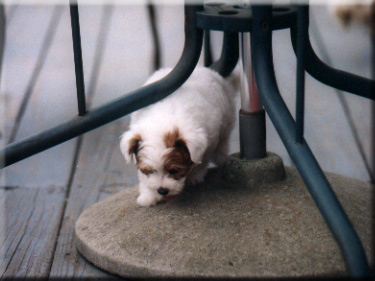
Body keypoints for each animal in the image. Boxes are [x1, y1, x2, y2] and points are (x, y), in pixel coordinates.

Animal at [120, 66, 238, 206]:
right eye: (150, 171)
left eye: (174, 171)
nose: (162, 190)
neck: (164, 120)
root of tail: (204, 69)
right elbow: (143, 177)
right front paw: (148, 195)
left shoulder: (208, 141)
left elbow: (202, 160)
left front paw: (195, 176)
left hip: (227, 116)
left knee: (224, 139)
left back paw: (221, 157)